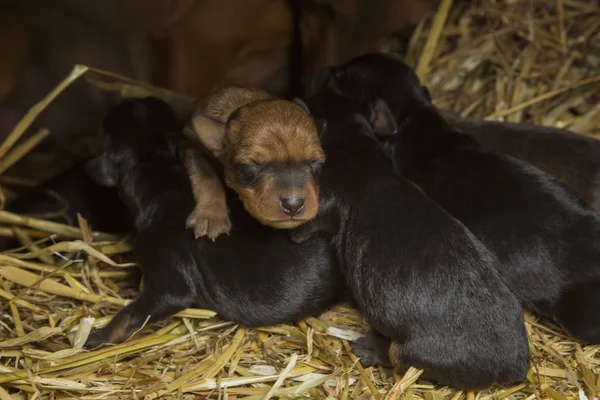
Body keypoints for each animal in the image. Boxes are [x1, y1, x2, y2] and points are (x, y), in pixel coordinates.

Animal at [182, 85, 324, 239]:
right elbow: (207, 177)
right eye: (248, 167)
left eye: (316, 163)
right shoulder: (193, 147)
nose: (293, 205)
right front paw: (210, 215)